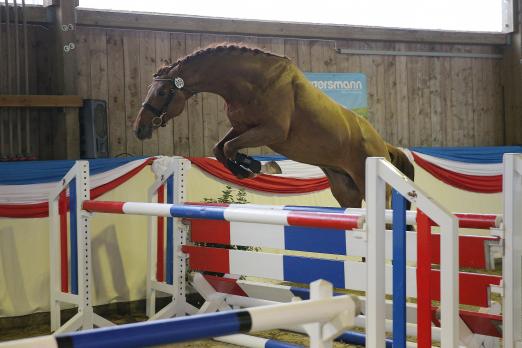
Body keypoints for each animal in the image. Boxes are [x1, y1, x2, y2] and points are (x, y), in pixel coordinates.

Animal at [132, 43, 412, 207]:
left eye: (161, 92)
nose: (139, 128)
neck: (253, 82)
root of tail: (383, 146)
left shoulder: (271, 132)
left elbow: (230, 148)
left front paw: (251, 167)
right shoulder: (243, 127)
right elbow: (219, 148)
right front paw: (245, 168)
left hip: (370, 183)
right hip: (345, 189)